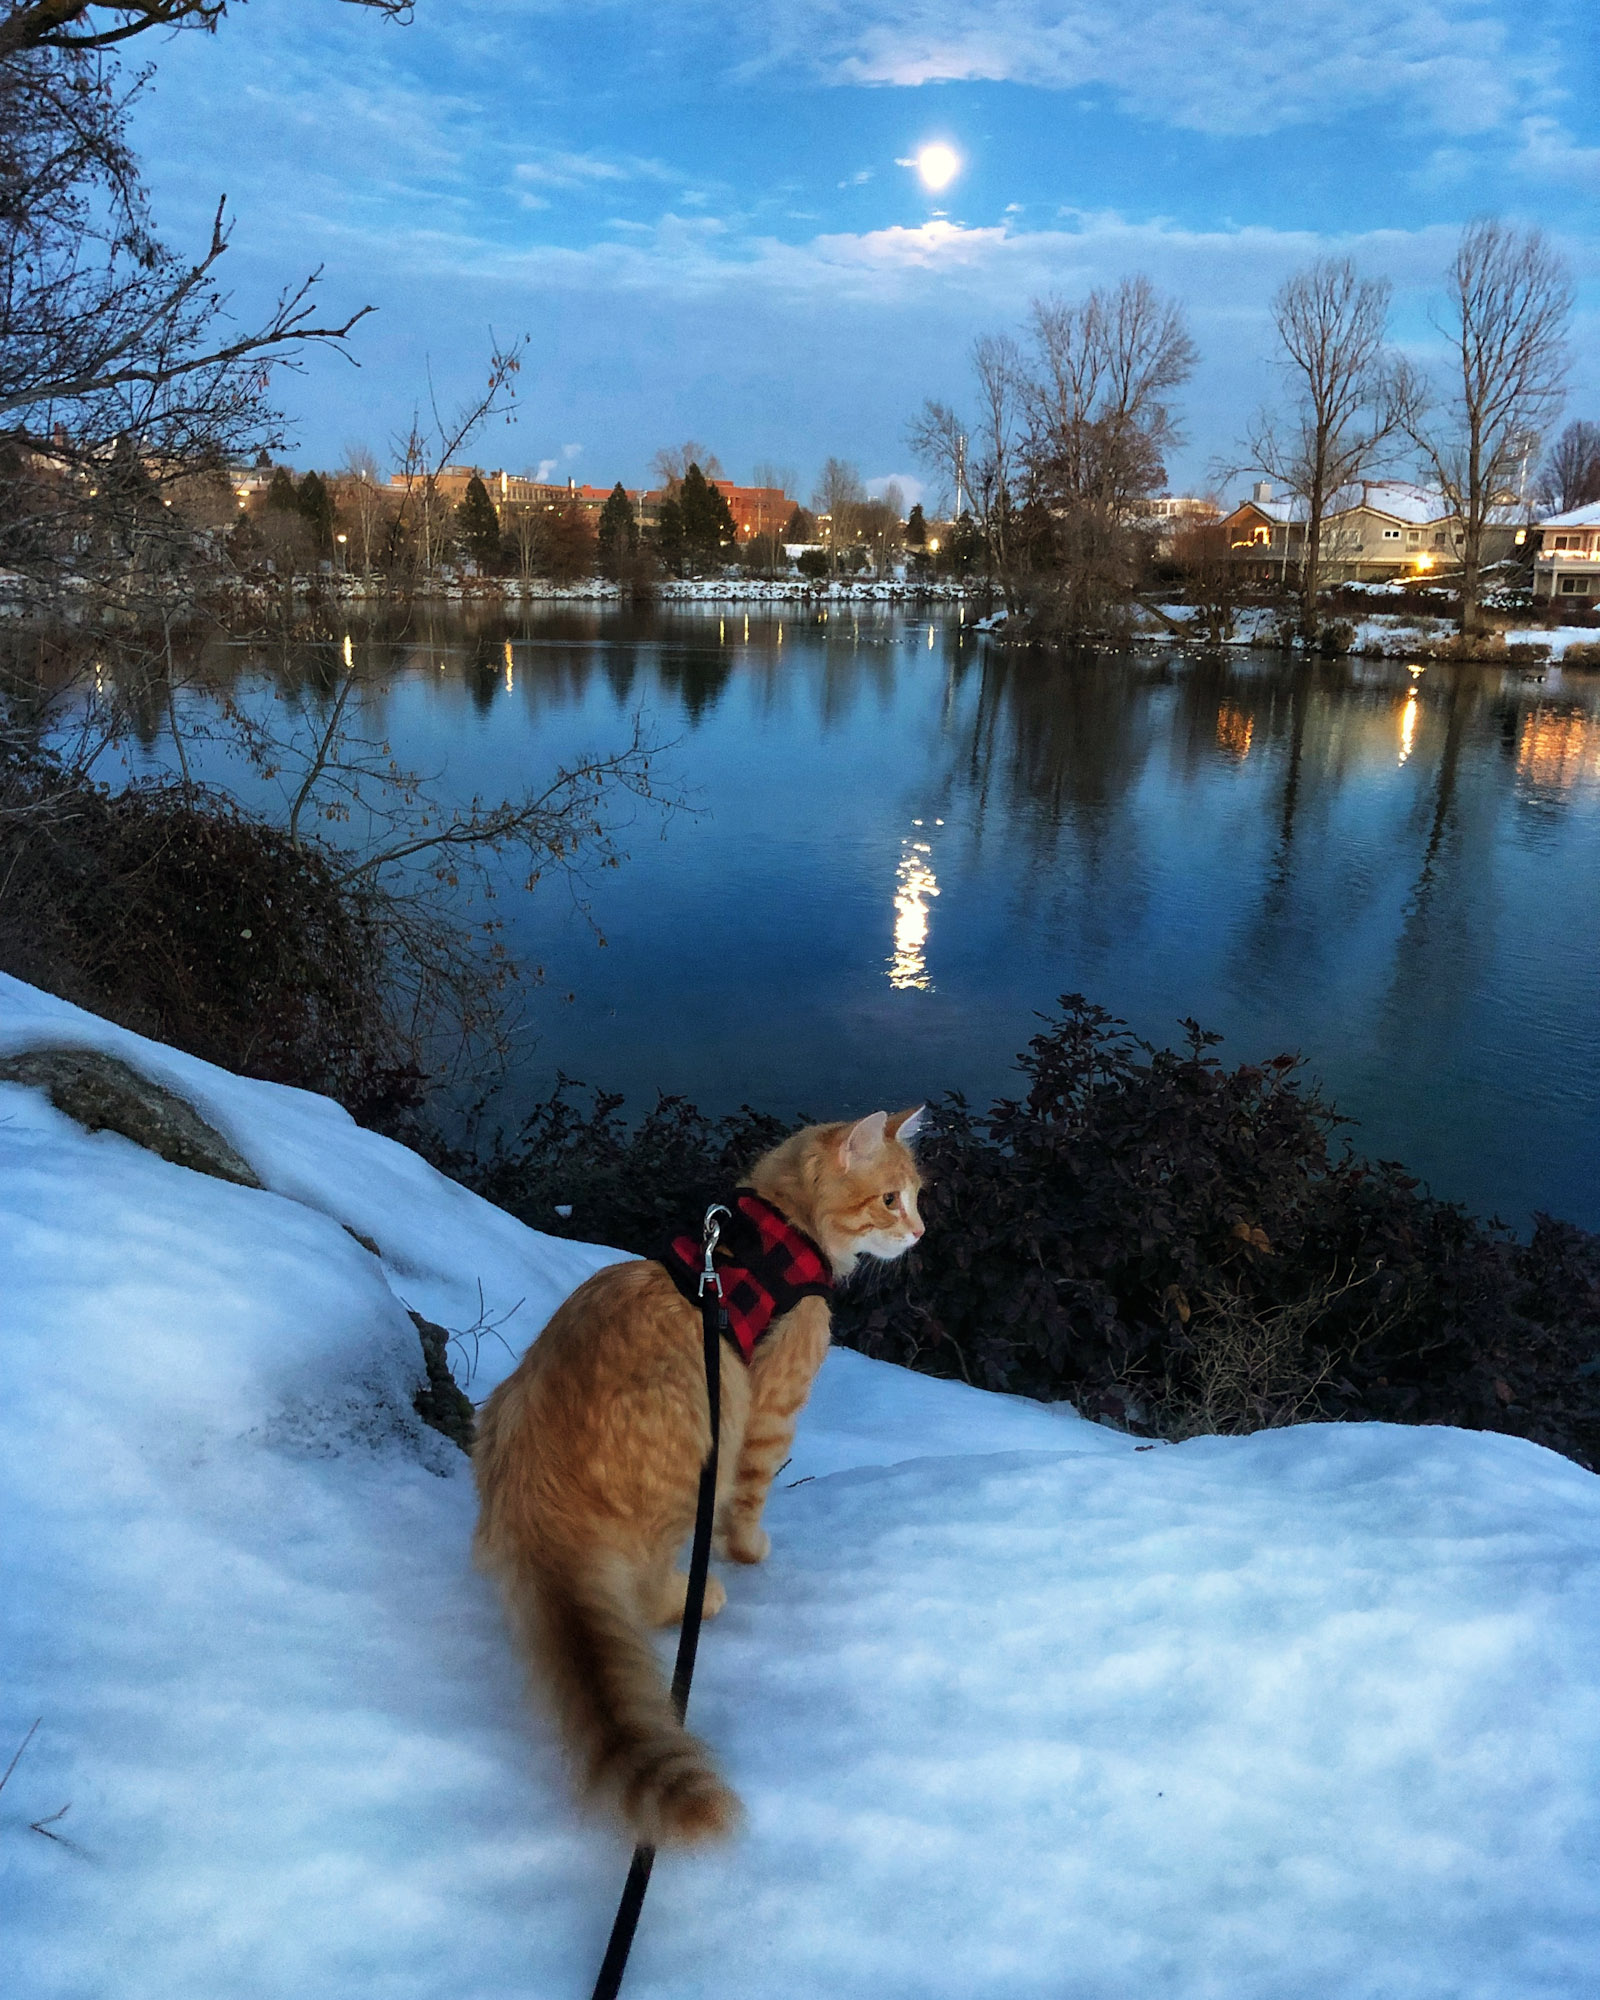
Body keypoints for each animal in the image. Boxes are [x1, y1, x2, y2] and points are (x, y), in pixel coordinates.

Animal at [472, 1112, 924, 1840]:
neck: (784, 1223)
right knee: (651, 1592)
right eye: (890, 1200)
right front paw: (752, 1551)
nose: (919, 1231)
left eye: (916, 1196)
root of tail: (536, 1488)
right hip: (704, 1447)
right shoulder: (771, 1408)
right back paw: (700, 1595)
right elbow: (752, 1499)